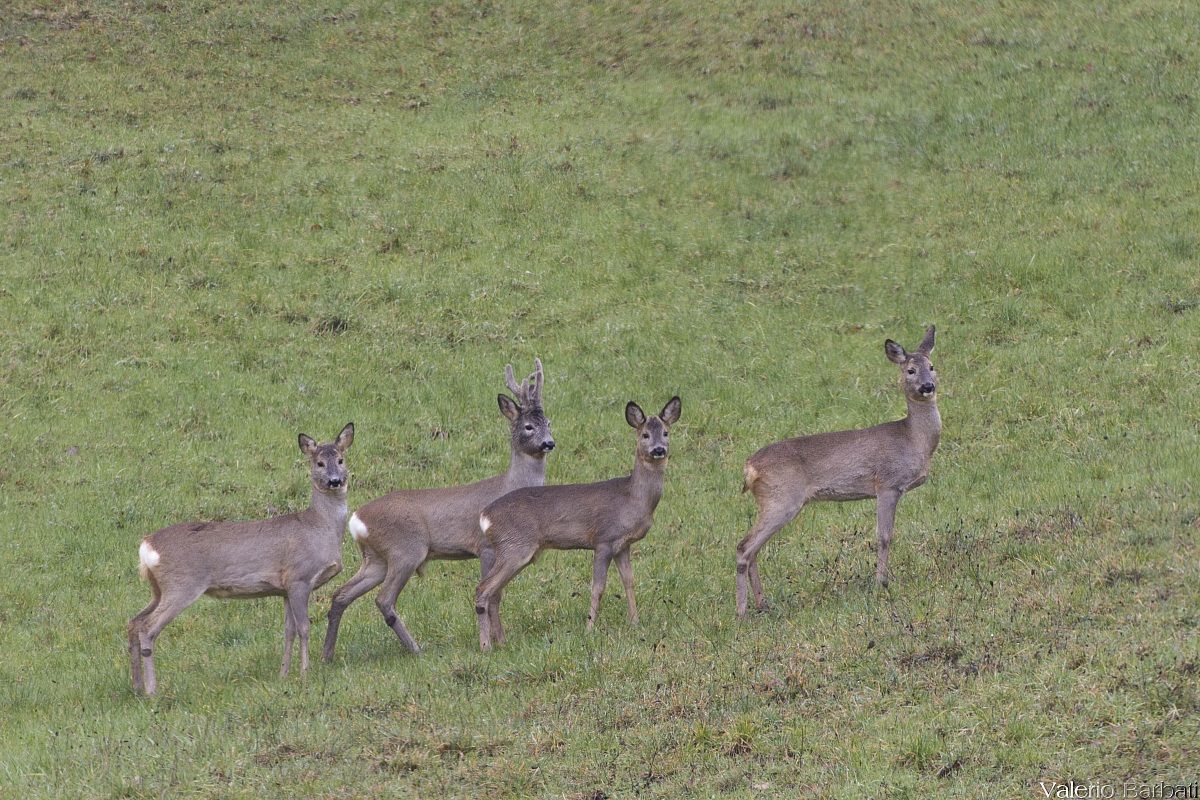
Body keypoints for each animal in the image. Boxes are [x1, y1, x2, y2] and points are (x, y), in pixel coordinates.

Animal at [127, 423, 355, 696]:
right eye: (319, 463)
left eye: (341, 460)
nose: (335, 481)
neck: (321, 528)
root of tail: (147, 545)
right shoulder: (299, 577)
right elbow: (304, 627)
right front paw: (304, 674)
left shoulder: (284, 588)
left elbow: (288, 631)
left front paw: (283, 675)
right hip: (181, 583)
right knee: (148, 627)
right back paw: (152, 691)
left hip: (158, 588)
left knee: (134, 622)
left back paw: (137, 687)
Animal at [321, 359, 554, 660]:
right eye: (527, 426)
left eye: (548, 422)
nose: (549, 443)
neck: (509, 485)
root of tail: (356, 520)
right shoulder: (485, 546)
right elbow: (492, 594)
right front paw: (495, 643)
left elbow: (495, 593)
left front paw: (500, 641)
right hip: (406, 550)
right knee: (383, 599)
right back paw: (415, 648)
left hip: (376, 559)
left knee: (341, 594)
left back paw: (327, 655)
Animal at [474, 396, 681, 651]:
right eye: (644, 435)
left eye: (666, 432)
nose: (659, 450)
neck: (633, 498)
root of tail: (485, 516)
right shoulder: (604, 539)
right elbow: (598, 587)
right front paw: (589, 629)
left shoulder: (623, 545)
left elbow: (629, 582)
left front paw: (635, 623)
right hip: (515, 546)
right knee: (483, 589)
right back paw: (486, 646)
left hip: (512, 550)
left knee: (494, 593)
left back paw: (502, 642)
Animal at [735, 326, 941, 618]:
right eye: (910, 370)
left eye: (932, 366)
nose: (927, 386)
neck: (914, 439)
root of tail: (749, 467)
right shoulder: (887, 484)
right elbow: (884, 536)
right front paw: (881, 583)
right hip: (781, 498)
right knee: (744, 547)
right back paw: (742, 612)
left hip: (773, 501)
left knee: (753, 549)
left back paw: (764, 604)